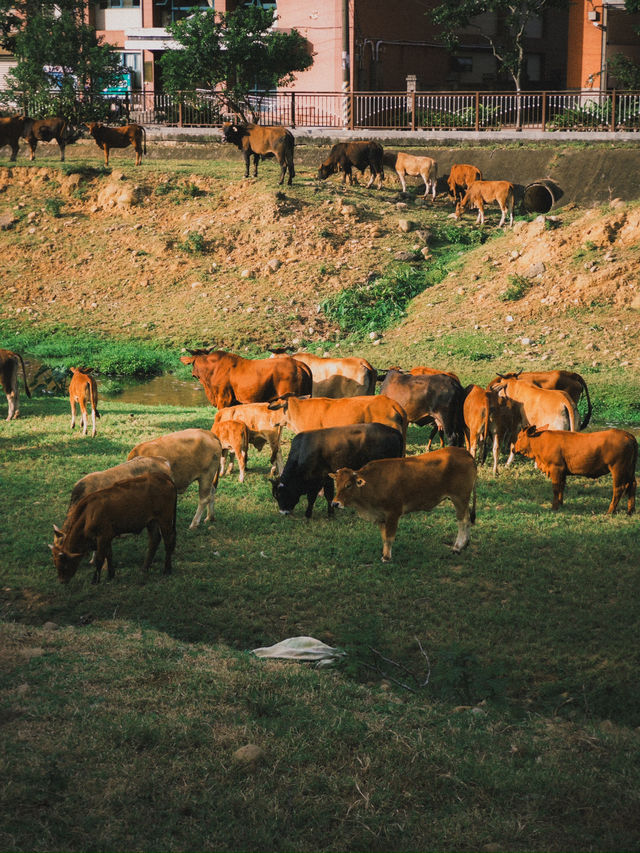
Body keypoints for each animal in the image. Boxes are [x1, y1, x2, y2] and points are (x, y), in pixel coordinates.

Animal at [49, 470, 178, 584]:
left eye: (64, 564)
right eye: (55, 563)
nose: (62, 581)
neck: (89, 514)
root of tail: (162, 477)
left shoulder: (102, 537)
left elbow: (100, 558)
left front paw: (95, 580)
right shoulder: (107, 537)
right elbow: (109, 554)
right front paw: (110, 575)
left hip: (165, 519)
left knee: (168, 542)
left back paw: (167, 569)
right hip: (151, 521)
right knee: (154, 540)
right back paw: (144, 568)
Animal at [272, 422, 402, 516]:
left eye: (280, 494)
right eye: (275, 496)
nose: (283, 512)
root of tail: (395, 432)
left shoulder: (318, 480)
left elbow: (313, 498)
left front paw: (308, 514)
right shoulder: (327, 478)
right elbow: (328, 496)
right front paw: (331, 512)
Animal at [332, 450, 478, 564]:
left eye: (348, 485)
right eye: (336, 484)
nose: (335, 503)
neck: (373, 483)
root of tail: (464, 452)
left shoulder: (393, 513)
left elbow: (389, 537)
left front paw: (386, 557)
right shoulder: (381, 517)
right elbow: (384, 537)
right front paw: (384, 553)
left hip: (459, 498)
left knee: (463, 521)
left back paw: (457, 547)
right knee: (467, 520)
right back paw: (465, 544)